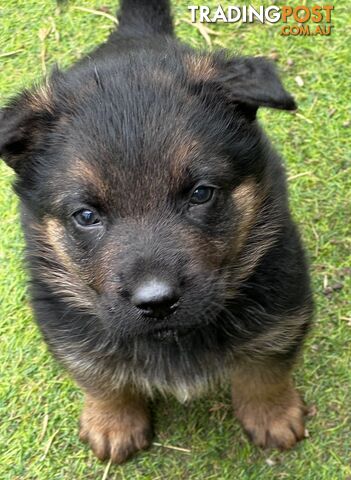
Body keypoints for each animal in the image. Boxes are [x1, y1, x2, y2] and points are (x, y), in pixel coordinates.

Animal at [0, 0, 314, 464]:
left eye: (201, 193)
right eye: (86, 216)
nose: (156, 302)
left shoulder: (282, 301)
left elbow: (266, 366)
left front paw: (272, 413)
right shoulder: (64, 320)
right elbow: (98, 375)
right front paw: (112, 421)